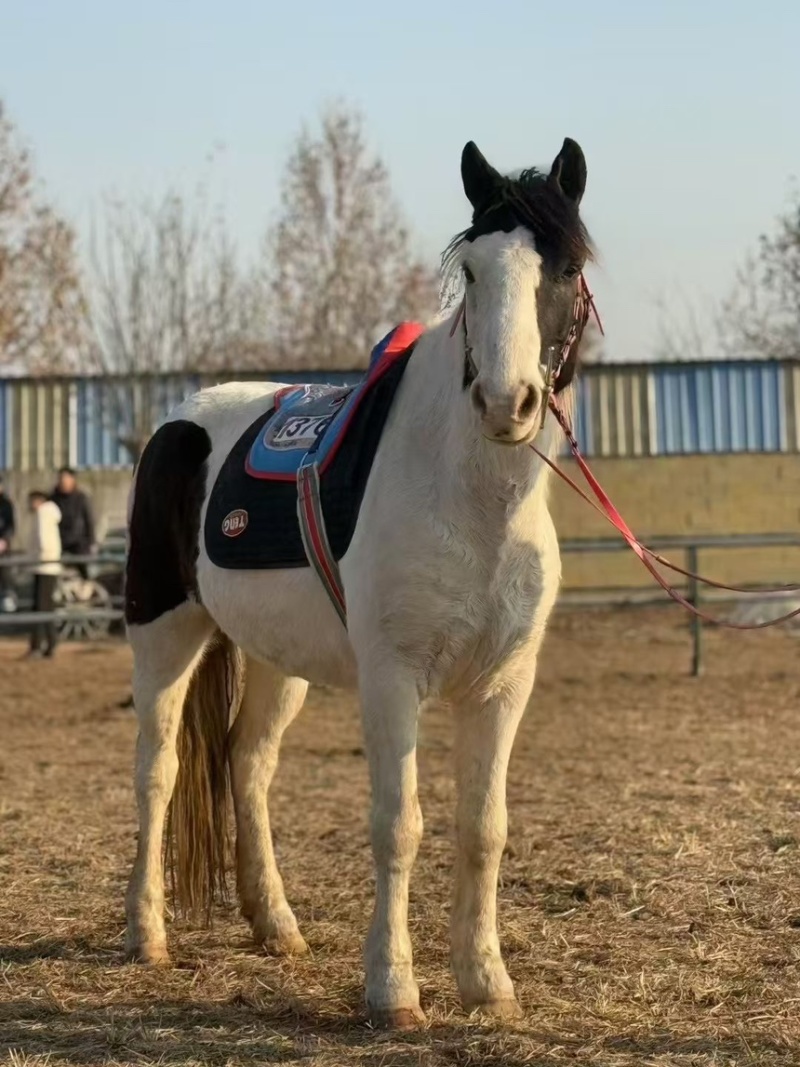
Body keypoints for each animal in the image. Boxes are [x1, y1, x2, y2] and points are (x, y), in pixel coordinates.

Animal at [123, 136, 594, 1029]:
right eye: (473, 270)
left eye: (565, 267)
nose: (506, 402)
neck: (471, 499)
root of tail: (180, 420)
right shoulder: (392, 678)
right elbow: (397, 825)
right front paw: (393, 989)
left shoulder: (503, 684)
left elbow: (484, 828)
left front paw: (487, 980)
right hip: (163, 635)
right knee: (158, 771)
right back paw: (145, 934)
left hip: (276, 661)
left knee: (246, 765)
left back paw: (275, 924)